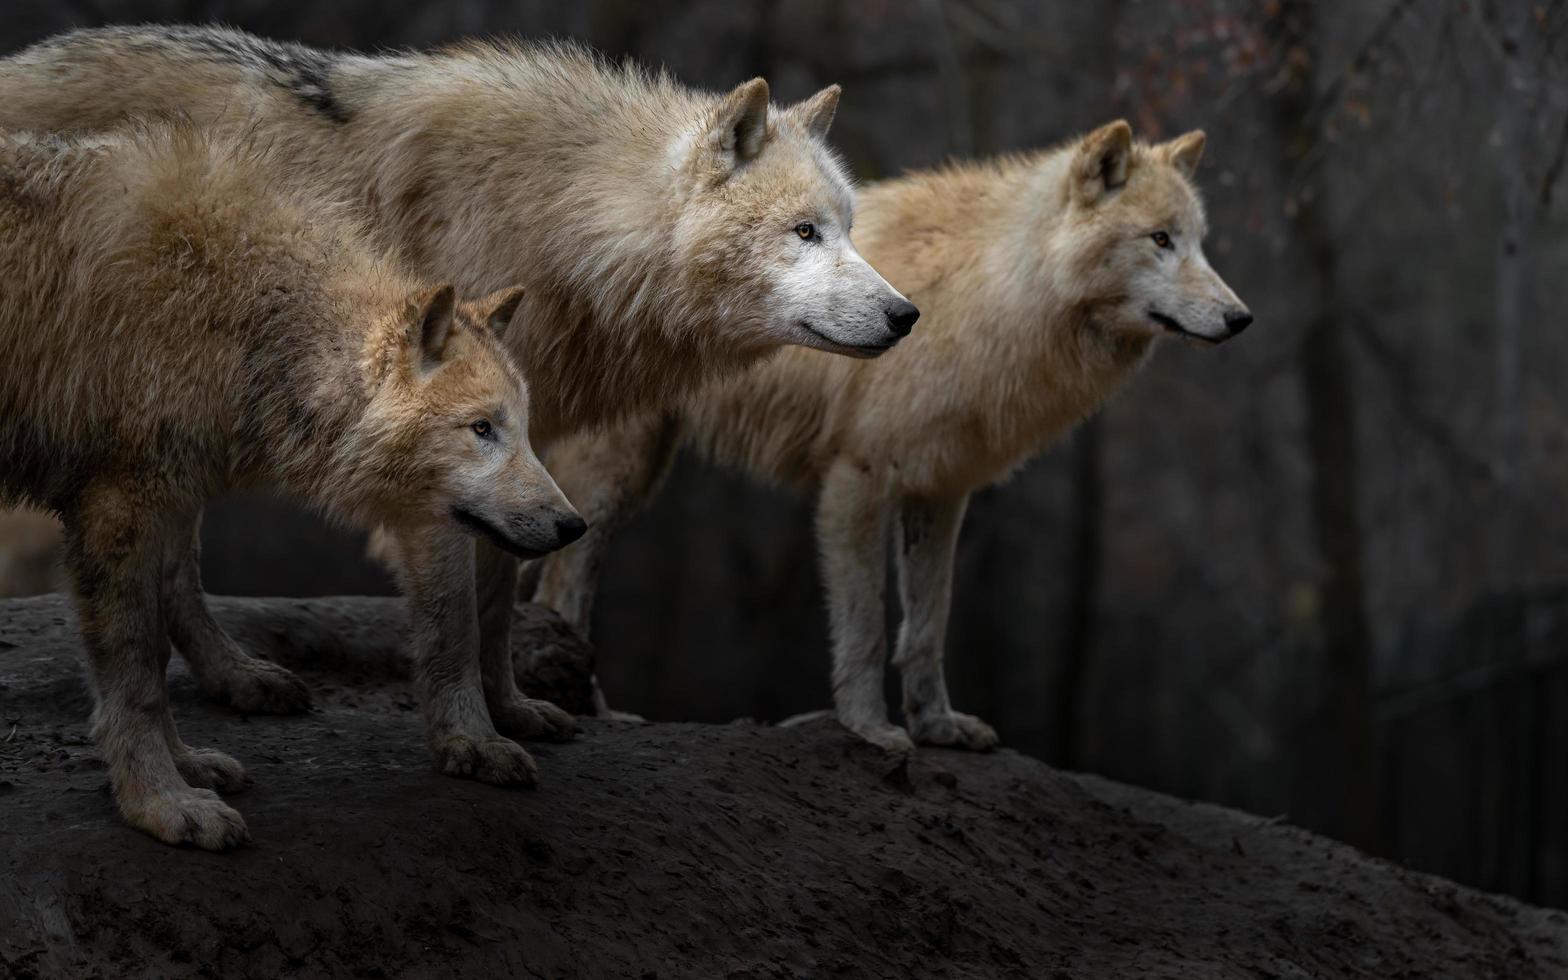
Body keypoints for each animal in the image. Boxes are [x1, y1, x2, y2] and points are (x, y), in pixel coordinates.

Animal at [0, 22, 915, 736]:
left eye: (848, 227)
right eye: (803, 232)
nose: (905, 314)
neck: (566, 222)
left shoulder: (518, 461)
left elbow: (501, 599)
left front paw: (512, 711)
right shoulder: (438, 453)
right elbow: (454, 610)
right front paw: (476, 736)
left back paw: (239, 680)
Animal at [0, 122, 583, 846]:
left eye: (524, 431)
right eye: (481, 429)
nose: (572, 525)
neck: (242, 319)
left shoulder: (161, 495)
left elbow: (155, 657)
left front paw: (185, 768)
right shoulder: (116, 505)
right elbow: (136, 675)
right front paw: (161, 803)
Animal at [533, 122, 1254, 749]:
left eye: (1199, 242)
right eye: (1160, 239)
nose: (1241, 318)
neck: (993, 295)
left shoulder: (942, 488)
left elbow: (928, 625)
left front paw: (937, 727)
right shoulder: (858, 479)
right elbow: (867, 627)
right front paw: (871, 730)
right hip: (615, 476)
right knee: (562, 582)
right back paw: (590, 709)